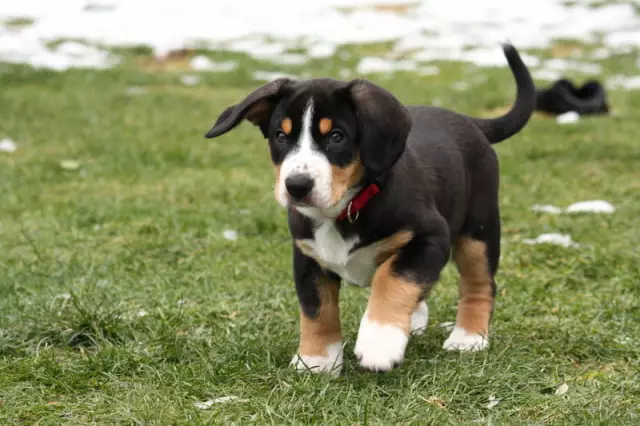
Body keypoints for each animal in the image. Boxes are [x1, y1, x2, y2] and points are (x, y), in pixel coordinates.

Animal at [205, 44, 536, 376]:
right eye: (281, 137)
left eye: (336, 137)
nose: (296, 186)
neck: (343, 210)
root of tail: (468, 121)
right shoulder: (308, 257)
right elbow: (317, 310)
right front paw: (317, 360)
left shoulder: (430, 237)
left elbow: (393, 279)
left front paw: (380, 342)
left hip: (478, 229)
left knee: (480, 283)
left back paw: (468, 337)